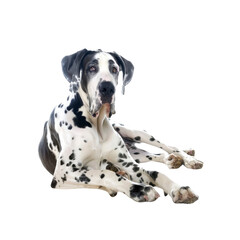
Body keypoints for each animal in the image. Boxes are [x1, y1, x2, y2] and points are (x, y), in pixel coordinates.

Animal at [39, 48, 202, 202]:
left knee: (168, 147)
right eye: (91, 68)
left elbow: (155, 173)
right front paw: (138, 189)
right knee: (156, 155)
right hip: (137, 154)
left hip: (135, 133)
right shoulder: (63, 174)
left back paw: (189, 159)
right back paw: (172, 160)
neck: (95, 125)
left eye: (114, 69)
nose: (107, 88)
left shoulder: (131, 165)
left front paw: (179, 189)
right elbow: (106, 174)